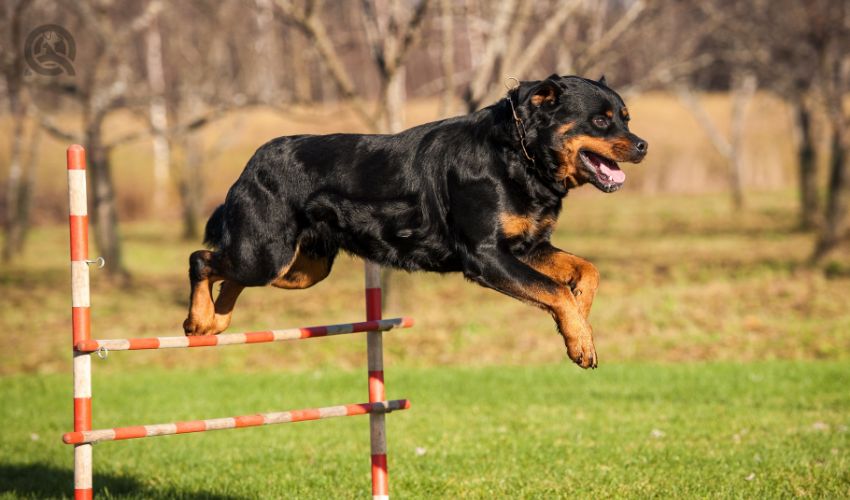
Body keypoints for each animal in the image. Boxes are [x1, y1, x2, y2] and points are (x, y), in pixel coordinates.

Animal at [184, 75, 644, 372]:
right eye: (601, 120)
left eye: (626, 116)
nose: (643, 145)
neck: (517, 155)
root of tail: (250, 164)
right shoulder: (487, 255)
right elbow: (554, 290)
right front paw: (580, 340)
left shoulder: (528, 246)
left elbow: (586, 271)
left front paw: (580, 321)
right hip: (267, 253)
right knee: (202, 258)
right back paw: (199, 320)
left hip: (302, 268)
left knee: (228, 273)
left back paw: (216, 321)